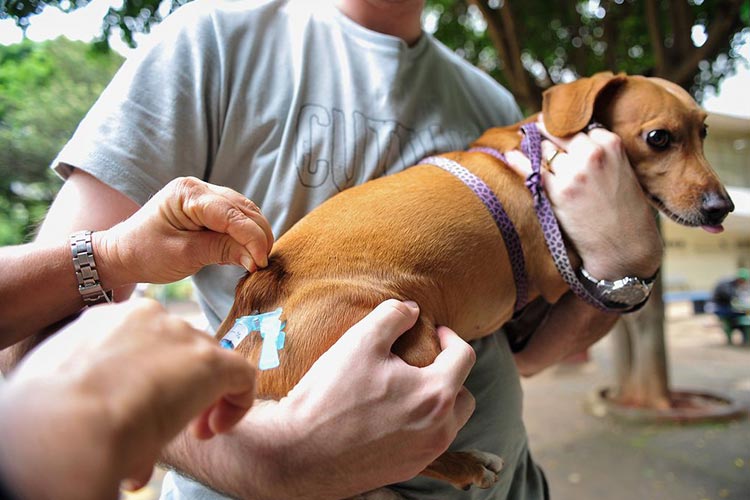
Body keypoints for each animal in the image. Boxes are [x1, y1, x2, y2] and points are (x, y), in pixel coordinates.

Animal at [216, 72, 736, 490]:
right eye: (659, 137)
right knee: (392, 458)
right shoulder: (558, 275)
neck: (537, 152)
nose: (723, 207)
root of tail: (260, 292)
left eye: (704, 132)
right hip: (416, 343)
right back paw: (466, 464)